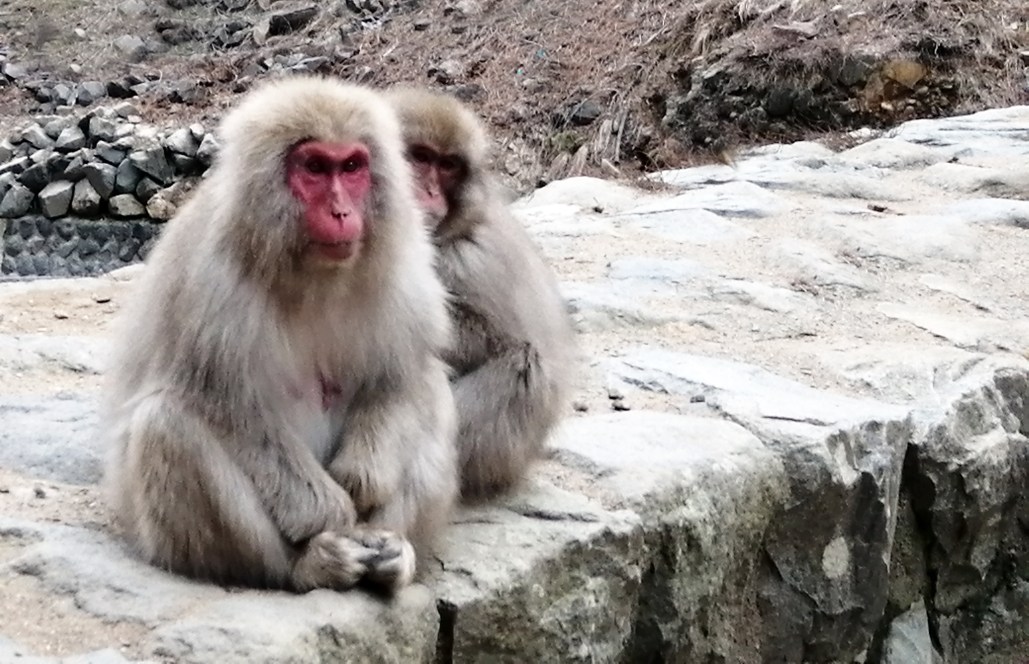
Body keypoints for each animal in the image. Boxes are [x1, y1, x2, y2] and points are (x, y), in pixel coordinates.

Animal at [101, 77, 458, 593]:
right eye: (314, 167)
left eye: (352, 167)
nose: (342, 211)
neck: (310, 273)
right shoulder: (208, 279)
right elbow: (223, 400)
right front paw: (328, 511)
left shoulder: (405, 267)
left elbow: (404, 375)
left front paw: (361, 481)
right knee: (165, 424)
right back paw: (307, 565)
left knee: (434, 395)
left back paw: (392, 551)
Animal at [384, 87, 577, 500]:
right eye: (420, 157)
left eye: (448, 166)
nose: (429, 193)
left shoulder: (462, 261)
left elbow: (490, 342)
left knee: (523, 366)